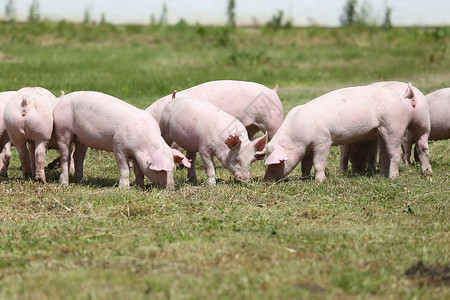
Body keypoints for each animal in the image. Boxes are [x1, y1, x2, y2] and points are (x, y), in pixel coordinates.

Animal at [52, 91, 190, 190]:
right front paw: (124, 188)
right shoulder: (118, 146)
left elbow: (138, 171)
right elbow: (124, 168)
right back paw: (64, 184)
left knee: (78, 156)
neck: (141, 145)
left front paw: (140, 186)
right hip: (63, 129)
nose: (171, 188)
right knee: (65, 156)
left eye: (173, 168)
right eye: (161, 171)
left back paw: (79, 181)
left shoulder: (136, 155)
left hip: (81, 138)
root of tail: (61, 100)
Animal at [264, 85, 414, 182]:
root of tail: (400, 96)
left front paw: (320, 181)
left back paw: (392, 177)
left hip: (394, 126)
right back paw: (382, 175)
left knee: (396, 152)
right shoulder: (307, 148)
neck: (296, 138)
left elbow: (318, 162)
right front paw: (305, 178)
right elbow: (305, 164)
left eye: (275, 163)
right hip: (381, 131)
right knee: (384, 153)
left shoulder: (323, 141)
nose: (266, 180)